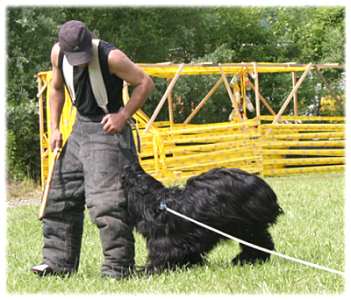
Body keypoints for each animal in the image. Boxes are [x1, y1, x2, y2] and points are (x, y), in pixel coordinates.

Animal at [123, 165, 284, 274]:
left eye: (132, 178)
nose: (128, 167)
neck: (156, 204)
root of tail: (266, 189)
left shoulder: (165, 244)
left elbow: (160, 259)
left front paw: (142, 272)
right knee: (262, 241)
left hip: (245, 224)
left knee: (257, 242)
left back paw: (245, 260)